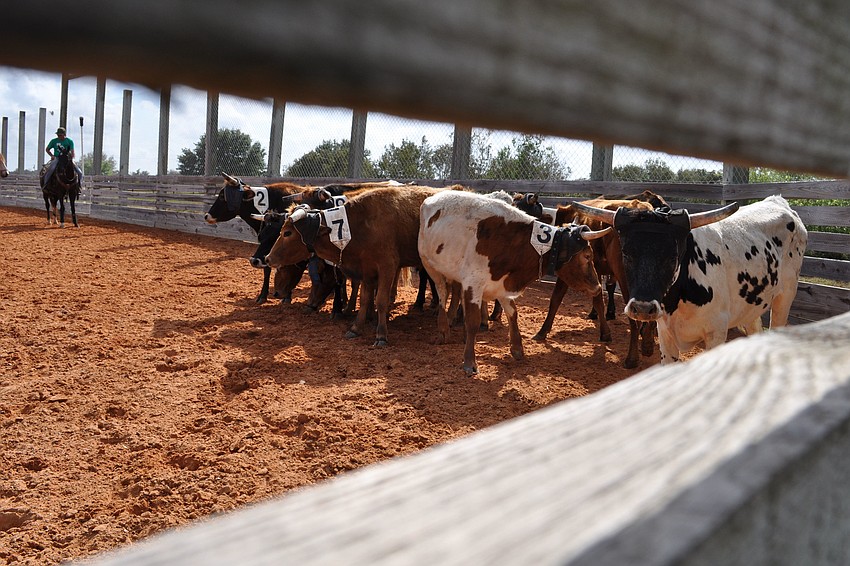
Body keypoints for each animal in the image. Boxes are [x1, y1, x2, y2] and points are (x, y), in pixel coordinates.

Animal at [265, 185, 443, 346]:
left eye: (287, 233)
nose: (268, 258)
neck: (361, 225)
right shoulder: (367, 269)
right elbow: (364, 298)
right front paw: (356, 328)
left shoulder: (387, 267)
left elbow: (381, 300)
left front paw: (381, 335)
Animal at [418, 190, 611, 374]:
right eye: (587, 256)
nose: (597, 287)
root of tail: (431, 199)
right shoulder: (474, 283)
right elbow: (473, 321)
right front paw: (469, 362)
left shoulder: (502, 283)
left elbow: (512, 313)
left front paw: (517, 348)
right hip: (430, 266)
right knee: (442, 293)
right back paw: (443, 329)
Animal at [570, 195, 807, 364]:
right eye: (626, 253)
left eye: (673, 256)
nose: (643, 308)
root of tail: (778, 201)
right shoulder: (665, 337)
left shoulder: (716, 334)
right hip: (750, 306)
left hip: (785, 298)